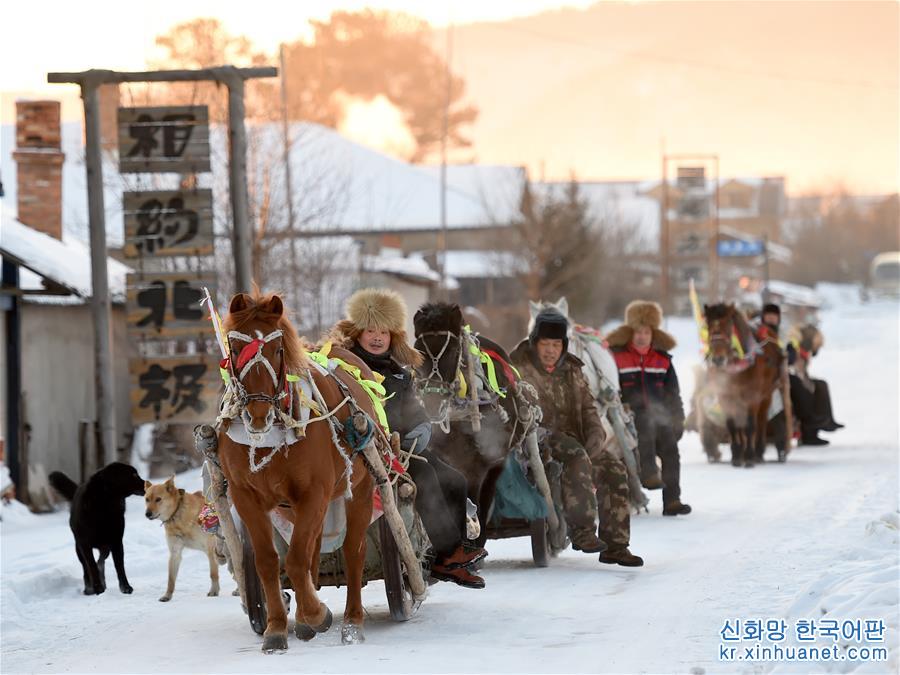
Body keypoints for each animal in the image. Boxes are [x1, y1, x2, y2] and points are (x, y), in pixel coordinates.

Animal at [49, 462, 146, 596]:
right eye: (133, 475)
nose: (149, 484)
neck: (105, 504)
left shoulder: (116, 542)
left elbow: (119, 567)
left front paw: (125, 587)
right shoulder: (84, 545)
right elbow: (91, 566)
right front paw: (97, 588)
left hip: (105, 547)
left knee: (101, 561)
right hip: (78, 548)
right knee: (87, 567)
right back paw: (89, 588)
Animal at [221, 294, 380, 652]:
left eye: (277, 349)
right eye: (235, 350)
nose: (258, 413)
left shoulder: (314, 492)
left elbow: (294, 560)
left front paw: (317, 614)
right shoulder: (245, 496)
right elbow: (269, 562)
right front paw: (277, 627)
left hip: (360, 489)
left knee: (353, 551)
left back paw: (352, 621)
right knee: (312, 549)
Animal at [414, 302, 532, 548]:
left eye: (451, 351)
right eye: (418, 351)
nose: (432, 402)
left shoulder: (476, 468)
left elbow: (474, 503)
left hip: (496, 464)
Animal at [704, 304, 780, 468]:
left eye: (728, 326)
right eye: (709, 326)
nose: (718, 359)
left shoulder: (752, 396)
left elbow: (750, 426)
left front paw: (750, 456)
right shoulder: (725, 396)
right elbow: (732, 425)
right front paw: (737, 455)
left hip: (766, 395)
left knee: (761, 420)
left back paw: (758, 452)